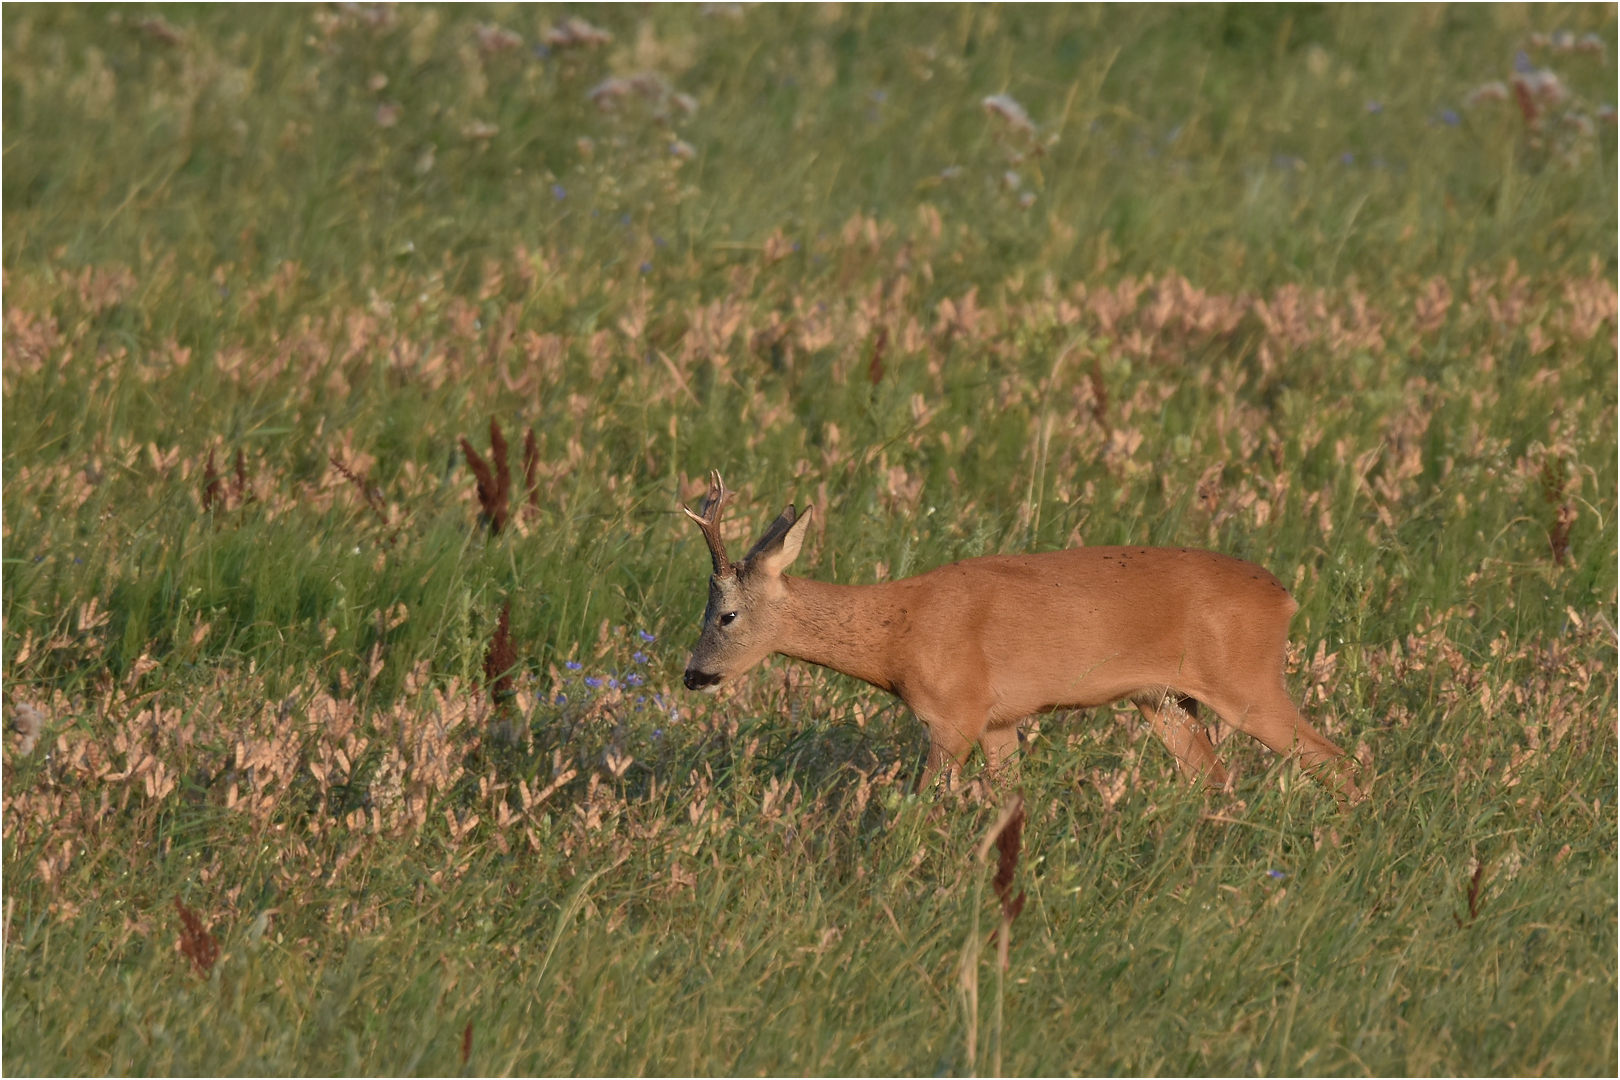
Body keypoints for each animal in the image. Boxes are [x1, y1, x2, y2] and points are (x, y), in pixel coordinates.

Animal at [677, 469, 1360, 806]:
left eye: (726, 615)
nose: (692, 674)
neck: (897, 636)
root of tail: (1284, 596)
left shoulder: (955, 713)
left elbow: (915, 808)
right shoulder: (1000, 721)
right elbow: (1011, 804)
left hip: (1245, 680)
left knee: (1338, 760)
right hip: (1164, 699)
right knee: (1215, 779)